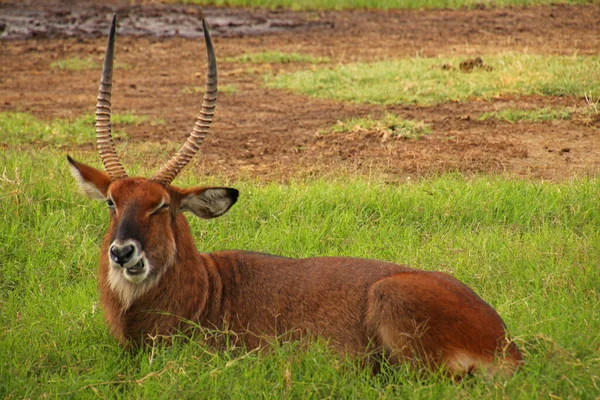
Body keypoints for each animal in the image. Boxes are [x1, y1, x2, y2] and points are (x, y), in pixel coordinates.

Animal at [68, 15, 524, 376]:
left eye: (161, 206)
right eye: (112, 201)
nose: (122, 253)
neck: (205, 288)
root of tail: (505, 342)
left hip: (391, 302)